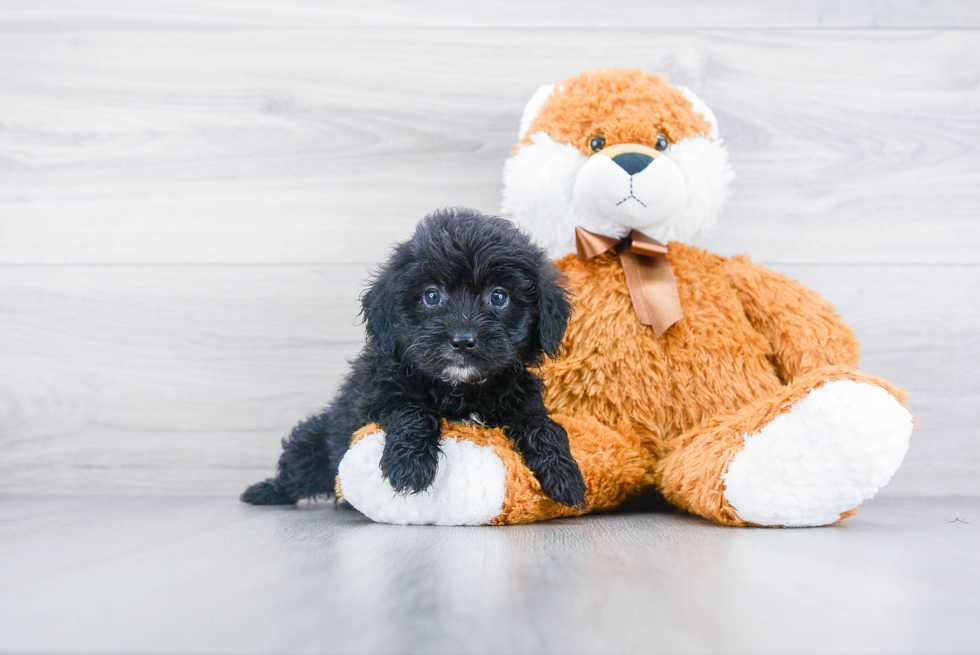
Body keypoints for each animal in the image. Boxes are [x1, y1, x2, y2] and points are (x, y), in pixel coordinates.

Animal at [241, 208, 584, 510]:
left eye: (499, 297)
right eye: (432, 296)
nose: (462, 340)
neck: (461, 389)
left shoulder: (523, 401)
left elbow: (543, 426)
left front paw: (565, 475)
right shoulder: (376, 397)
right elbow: (412, 411)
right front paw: (409, 467)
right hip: (311, 442)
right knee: (295, 472)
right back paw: (263, 491)